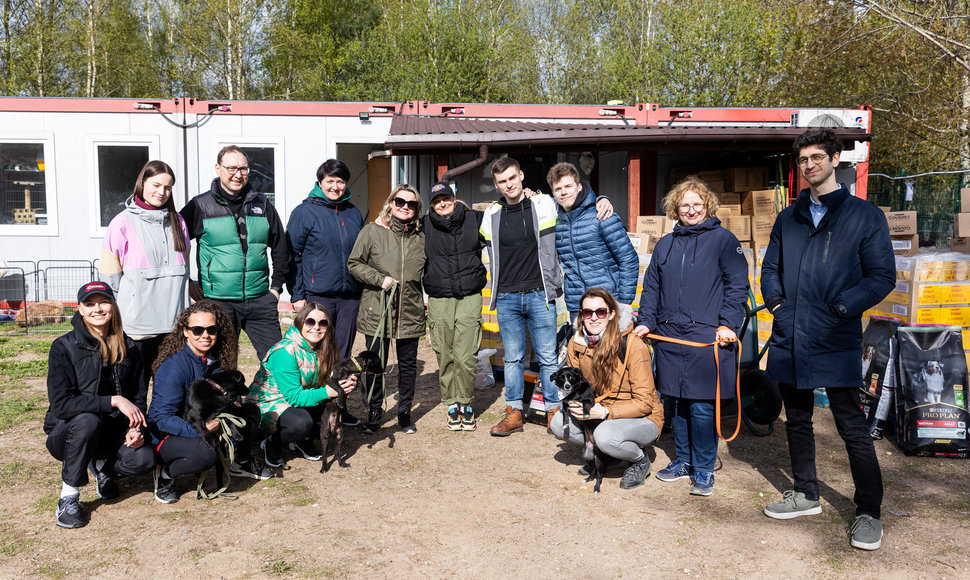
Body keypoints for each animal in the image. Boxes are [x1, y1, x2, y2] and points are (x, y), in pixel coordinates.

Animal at [548, 364, 600, 492]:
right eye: (561, 378)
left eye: (571, 377)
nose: (567, 386)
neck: (573, 392)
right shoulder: (566, 405)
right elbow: (564, 415)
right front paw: (565, 425)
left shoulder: (590, 400)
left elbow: (585, 404)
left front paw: (586, 414)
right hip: (588, 456)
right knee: (594, 471)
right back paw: (588, 479)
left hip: (598, 458)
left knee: (599, 475)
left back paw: (596, 488)